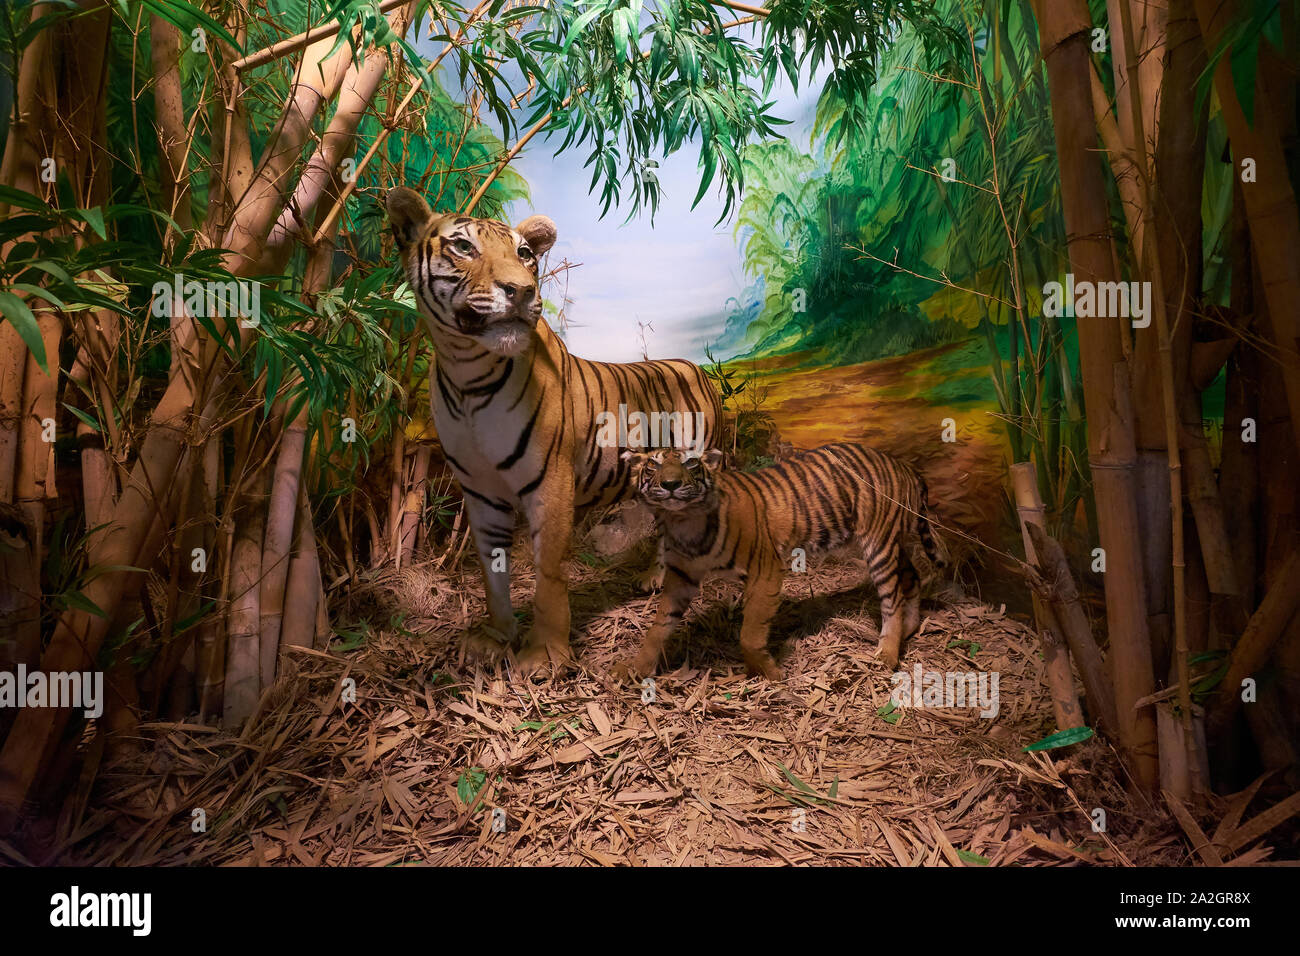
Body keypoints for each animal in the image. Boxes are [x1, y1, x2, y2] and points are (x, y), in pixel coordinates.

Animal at [390, 188, 728, 671]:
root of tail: (695, 365)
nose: (521, 291)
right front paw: (496, 637)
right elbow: (492, 571)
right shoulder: (480, 492)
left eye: (525, 254)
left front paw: (545, 654)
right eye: (463, 247)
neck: (466, 371)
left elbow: (548, 576)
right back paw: (654, 577)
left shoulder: (550, 484)